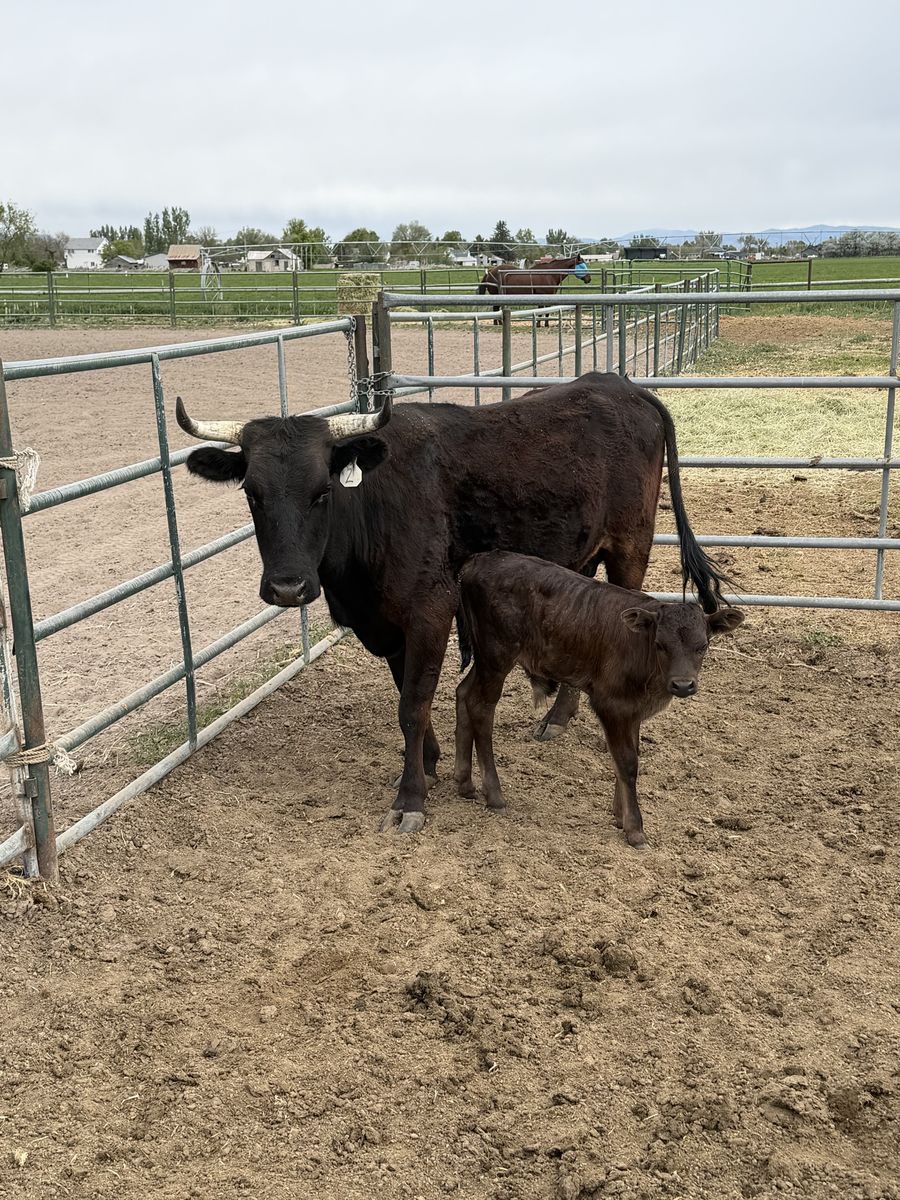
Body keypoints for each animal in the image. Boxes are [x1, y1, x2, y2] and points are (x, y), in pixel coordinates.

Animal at [454, 551, 744, 849]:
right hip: (497, 656)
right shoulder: (610, 704)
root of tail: (478, 560)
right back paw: (494, 795)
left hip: (485, 658)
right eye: (660, 644)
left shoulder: (633, 710)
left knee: (463, 693)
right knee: (481, 708)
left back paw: (464, 782)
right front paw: (635, 829)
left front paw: (619, 814)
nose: (683, 684)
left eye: (703, 646)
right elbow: (627, 762)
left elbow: (626, 756)